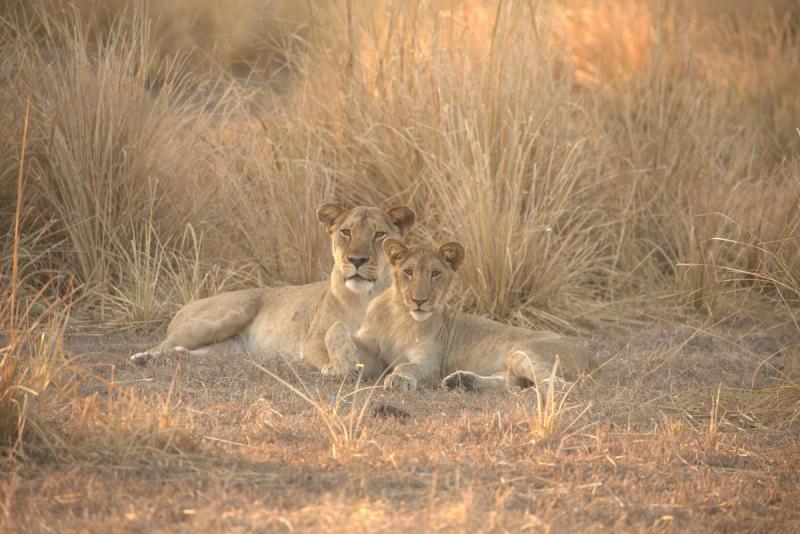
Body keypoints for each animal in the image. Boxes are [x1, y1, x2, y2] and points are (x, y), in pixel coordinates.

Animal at [130, 203, 415, 370]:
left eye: (379, 234)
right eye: (346, 232)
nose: (357, 260)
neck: (365, 297)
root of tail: (182, 308)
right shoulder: (312, 341)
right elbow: (326, 354)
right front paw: (338, 367)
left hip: (229, 351)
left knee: (189, 352)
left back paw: (177, 357)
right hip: (231, 312)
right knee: (163, 344)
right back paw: (142, 358)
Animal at [323, 239, 595, 391]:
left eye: (435, 274)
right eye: (408, 272)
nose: (419, 301)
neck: (402, 315)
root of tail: (588, 353)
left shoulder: (430, 363)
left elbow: (407, 366)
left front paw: (399, 379)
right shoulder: (373, 352)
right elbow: (335, 327)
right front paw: (341, 364)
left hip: (526, 352)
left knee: (558, 385)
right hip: (511, 364)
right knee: (512, 383)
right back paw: (463, 381)